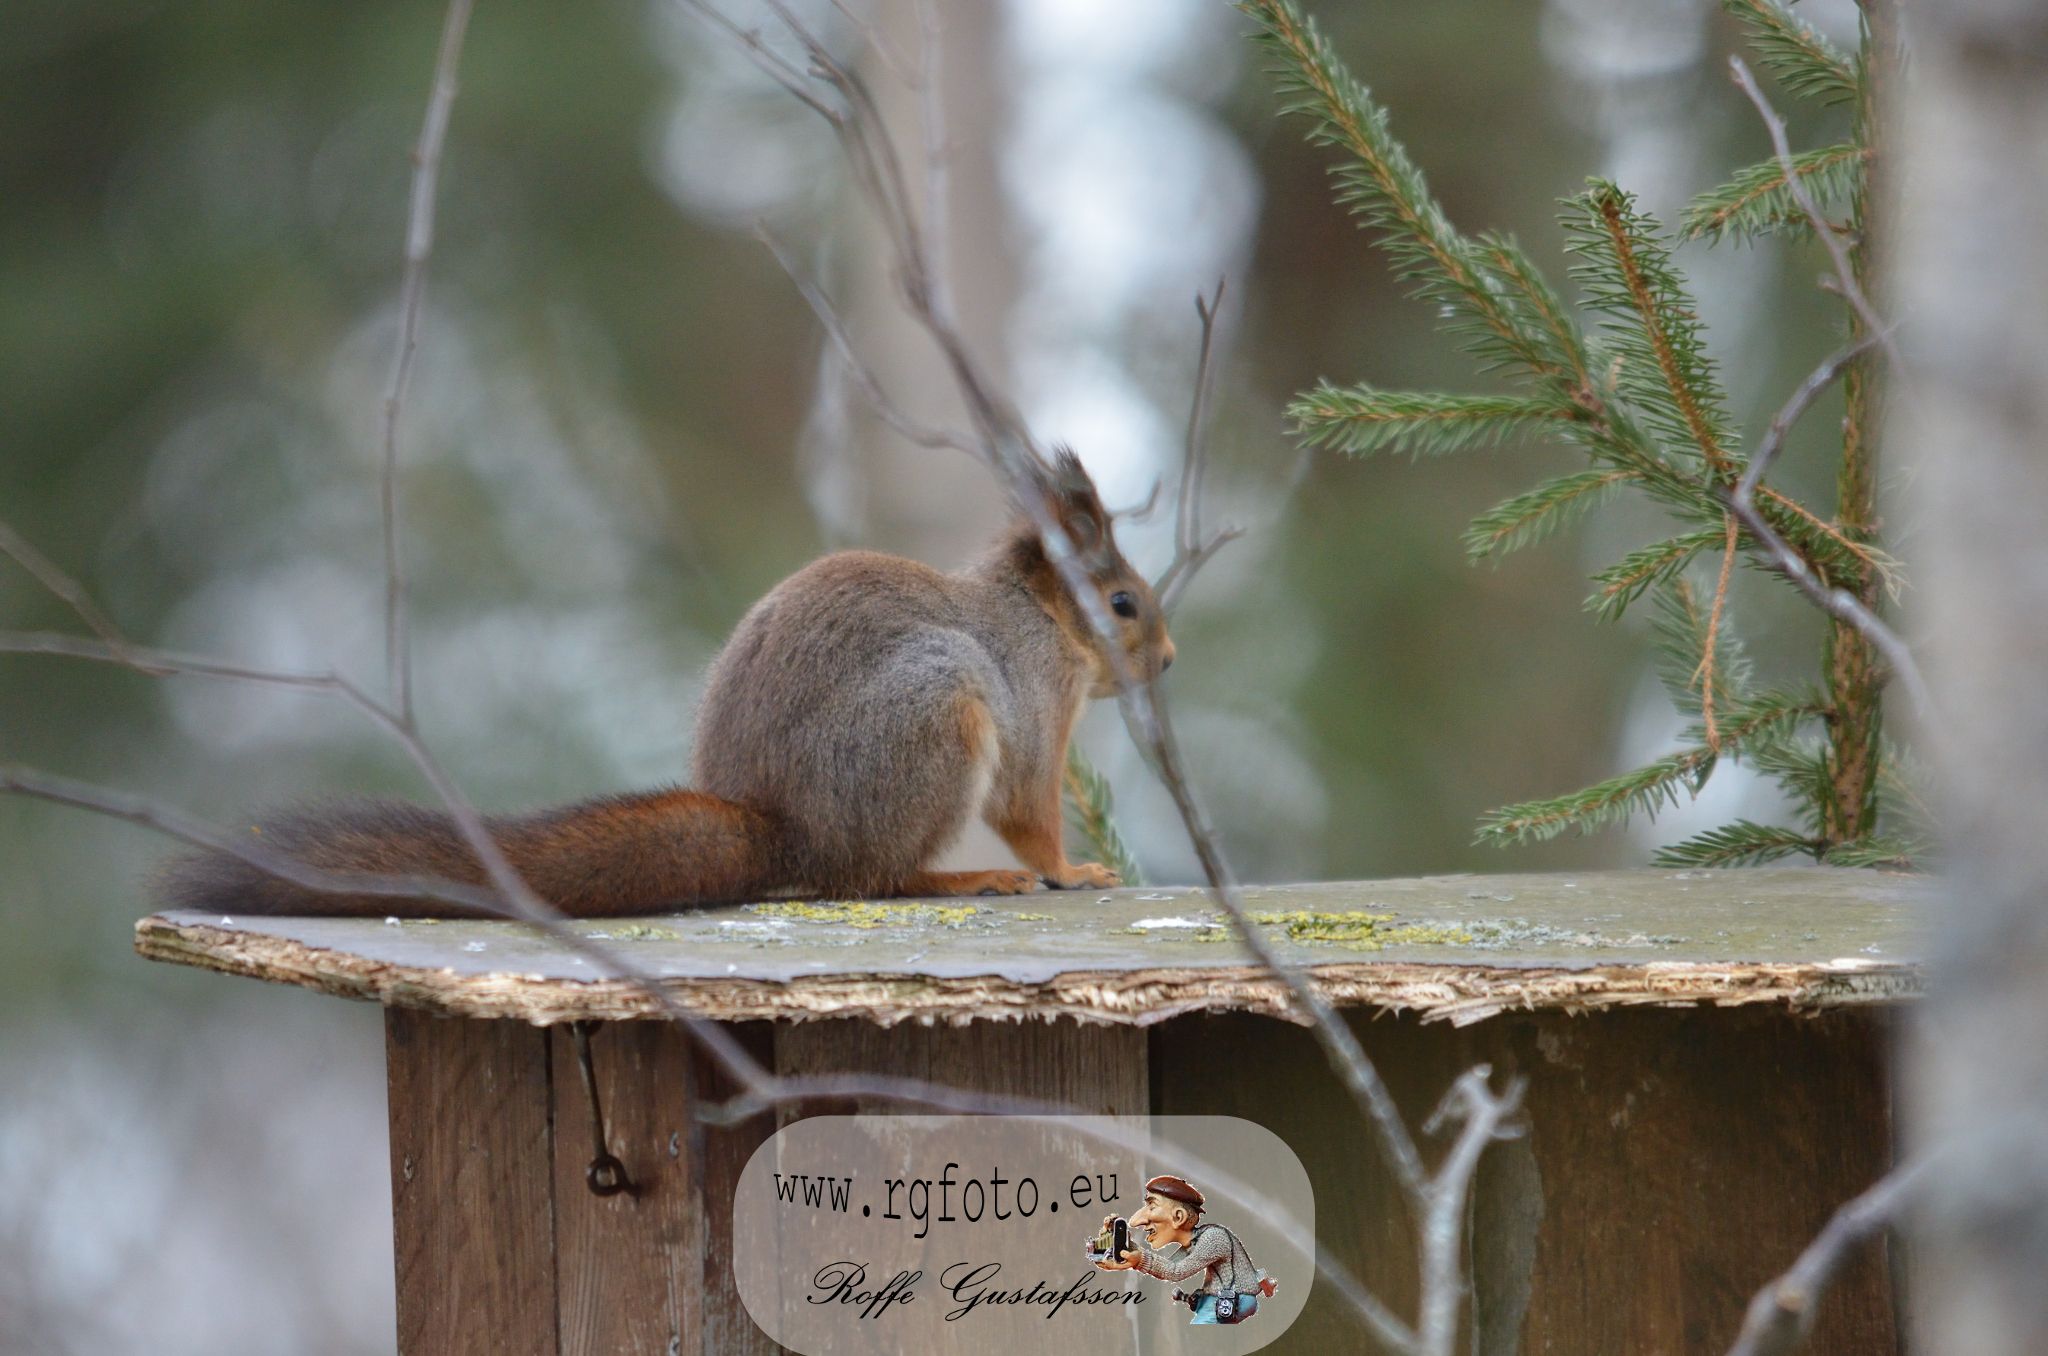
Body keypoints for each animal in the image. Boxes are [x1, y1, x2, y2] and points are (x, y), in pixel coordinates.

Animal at [153, 450, 1179, 917]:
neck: (1039, 615)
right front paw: (1070, 870)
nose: (1168, 660)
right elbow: (1027, 808)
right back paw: (967, 875)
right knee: (875, 876)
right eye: (1122, 603)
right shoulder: (1033, 698)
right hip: (935, 711)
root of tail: (787, 832)